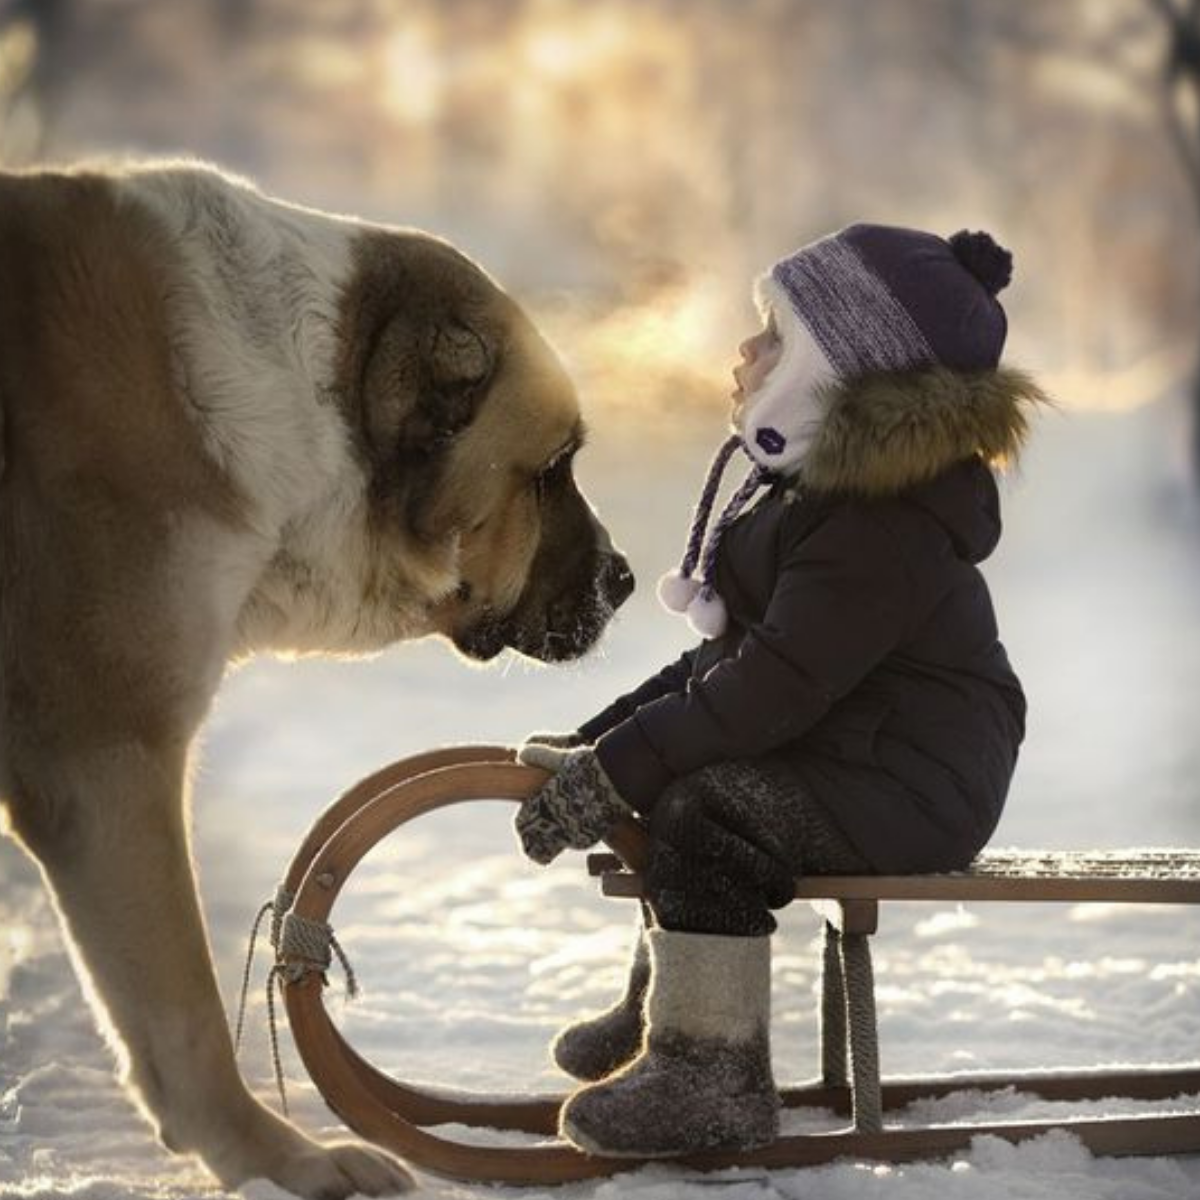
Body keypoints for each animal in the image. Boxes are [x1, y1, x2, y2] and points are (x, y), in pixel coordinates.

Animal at [0, 162, 638, 1200]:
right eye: (549, 471)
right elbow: (182, 1009)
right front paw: (276, 1159)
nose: (623, 579)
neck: (306, 411)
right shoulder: (105, 761)